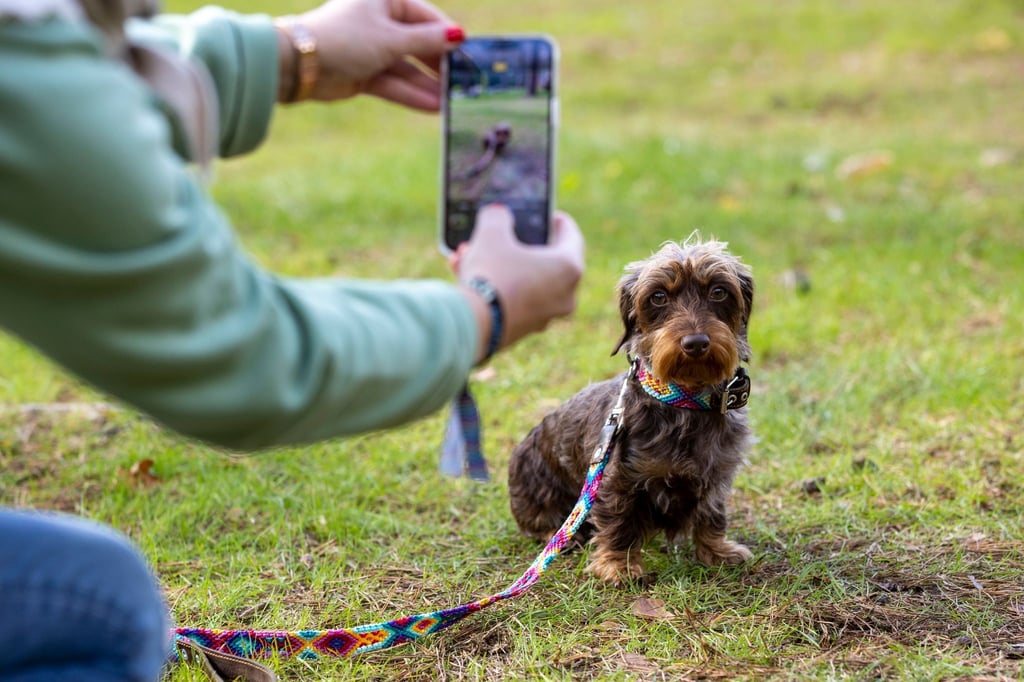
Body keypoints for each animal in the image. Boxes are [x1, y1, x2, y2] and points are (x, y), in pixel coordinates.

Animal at [507, 236, 757, 581]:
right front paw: (619, 565)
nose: (695, 343)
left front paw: (717, 551)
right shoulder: (618, 478)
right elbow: (619, 521)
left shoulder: (717, 473)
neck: (683, 400)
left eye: (719, 291)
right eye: (658, 296)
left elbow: (711, 514)